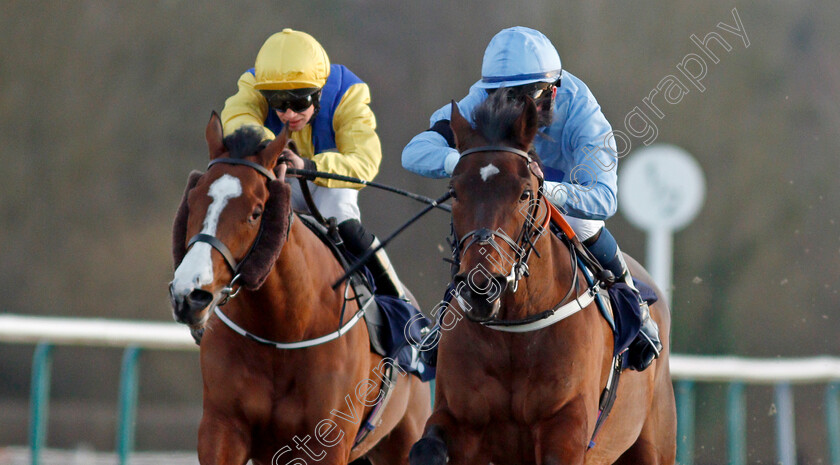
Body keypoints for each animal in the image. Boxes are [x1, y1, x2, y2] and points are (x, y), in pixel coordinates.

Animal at [171, 113, 434, 464]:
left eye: (256, 212)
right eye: (193, 200)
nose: (189, 295)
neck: (283, 331)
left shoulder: (329, 441)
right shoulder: (222, 427)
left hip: (406, 436)